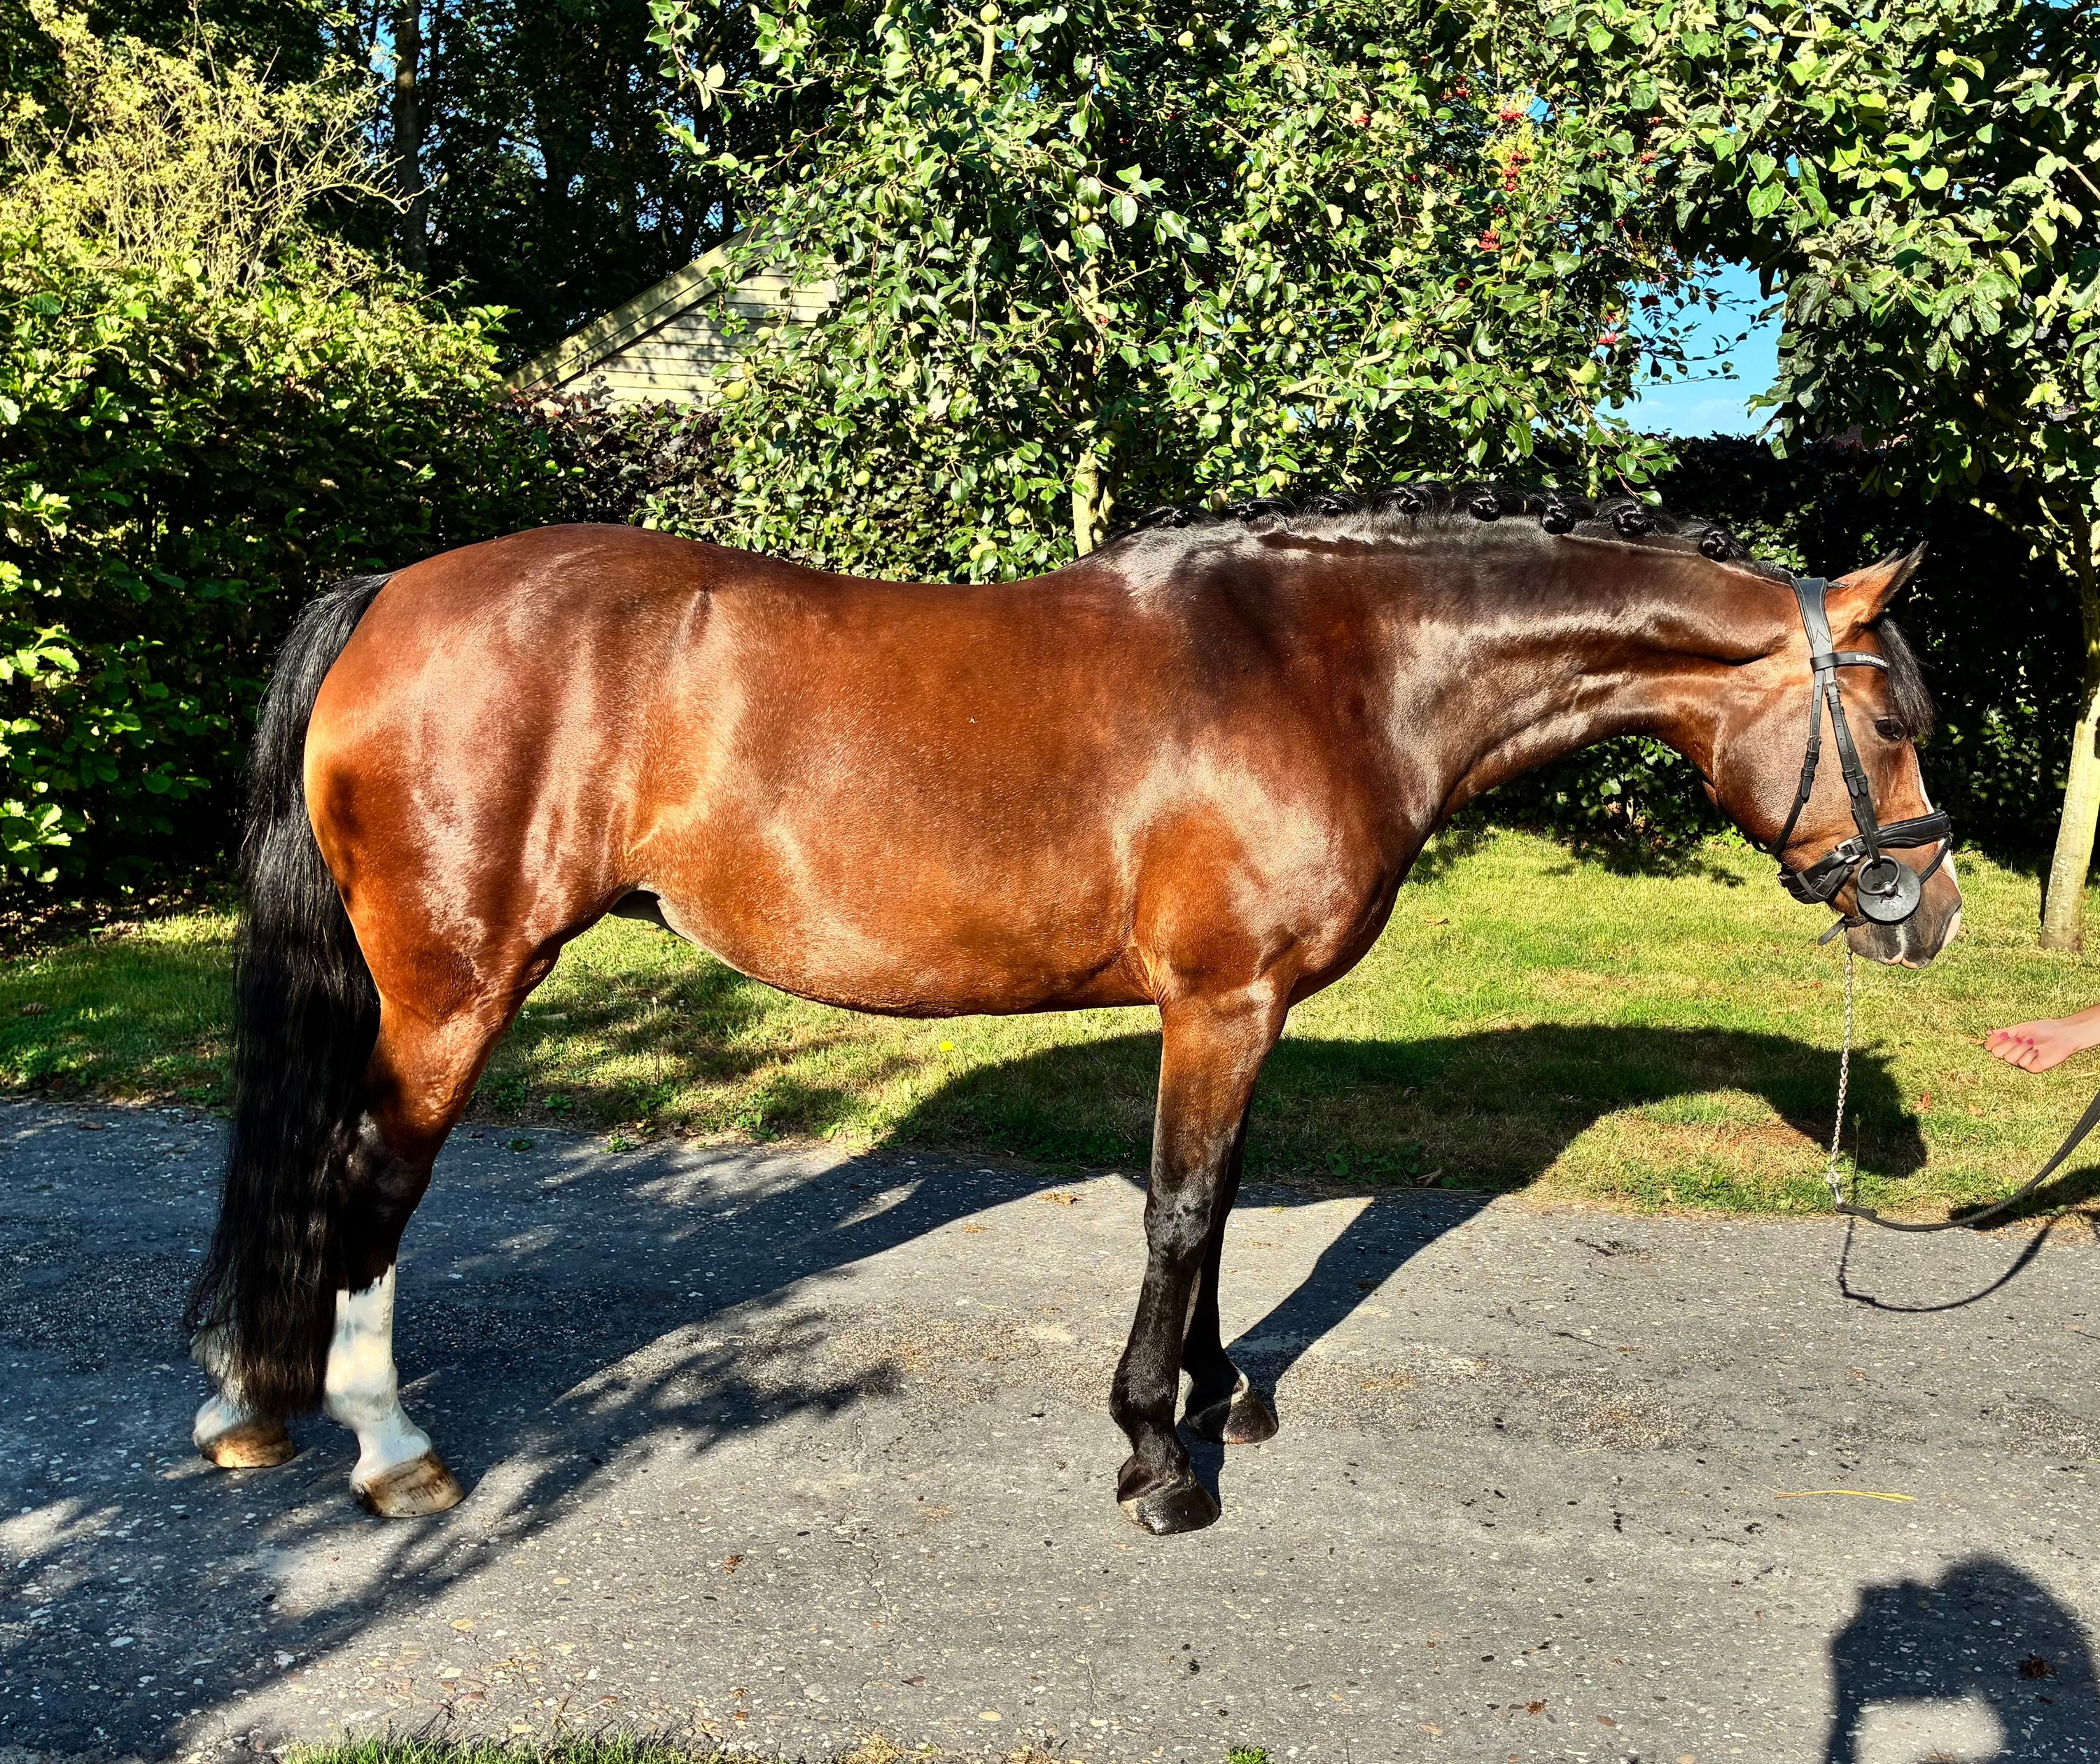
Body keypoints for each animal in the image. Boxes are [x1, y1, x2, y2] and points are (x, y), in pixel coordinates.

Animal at [183, 483, 1961, 1536]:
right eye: (1885, 717)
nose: (1928, 911)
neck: (1331, 664)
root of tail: (393, 594)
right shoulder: (1222, 1004)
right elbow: (1178, 1211)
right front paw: (1157, 1457)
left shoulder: (1240, 1009)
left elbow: (1220, 1210)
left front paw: (1217, 1397)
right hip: (455, 991)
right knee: (368, 1185)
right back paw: (385, 1446)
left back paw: (249, 1402)